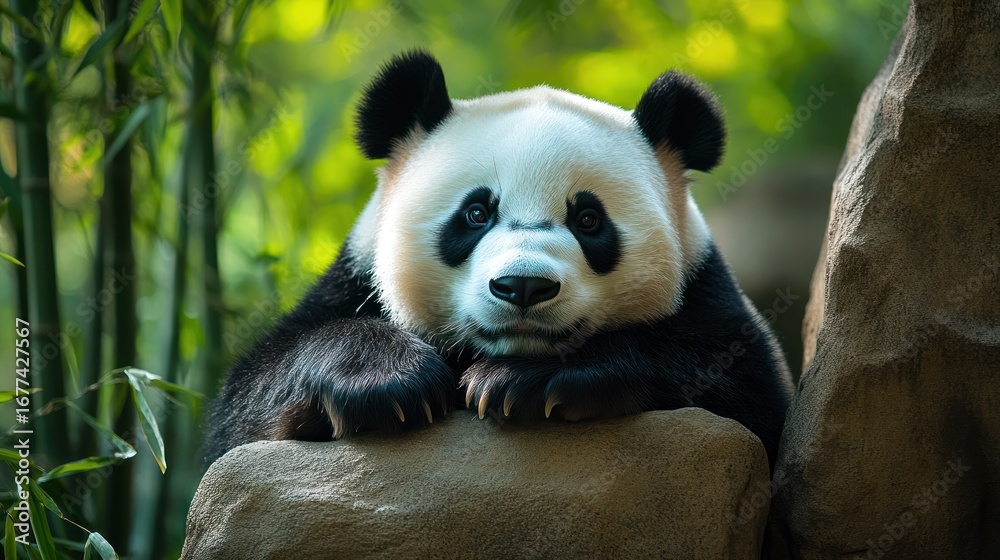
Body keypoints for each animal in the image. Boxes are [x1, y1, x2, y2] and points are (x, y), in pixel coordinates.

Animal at [205, 50, 793, 468]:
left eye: (588, 220)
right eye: (476, 213)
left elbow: (745, 393)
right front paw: (387, 383)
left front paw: (521, 382)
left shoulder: (708, 292)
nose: (523, 287)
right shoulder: (352, 278)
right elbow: (245, 409)